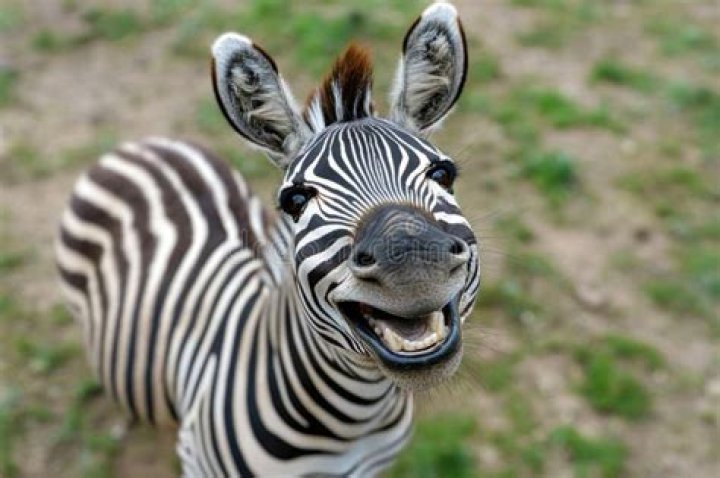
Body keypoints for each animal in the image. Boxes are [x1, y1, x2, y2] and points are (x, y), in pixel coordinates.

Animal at [55, 2, 480, 476]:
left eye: (443, 174)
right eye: (296, 200)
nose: (412, 264)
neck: (356, 419)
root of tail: (143, 145)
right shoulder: (198, 459)